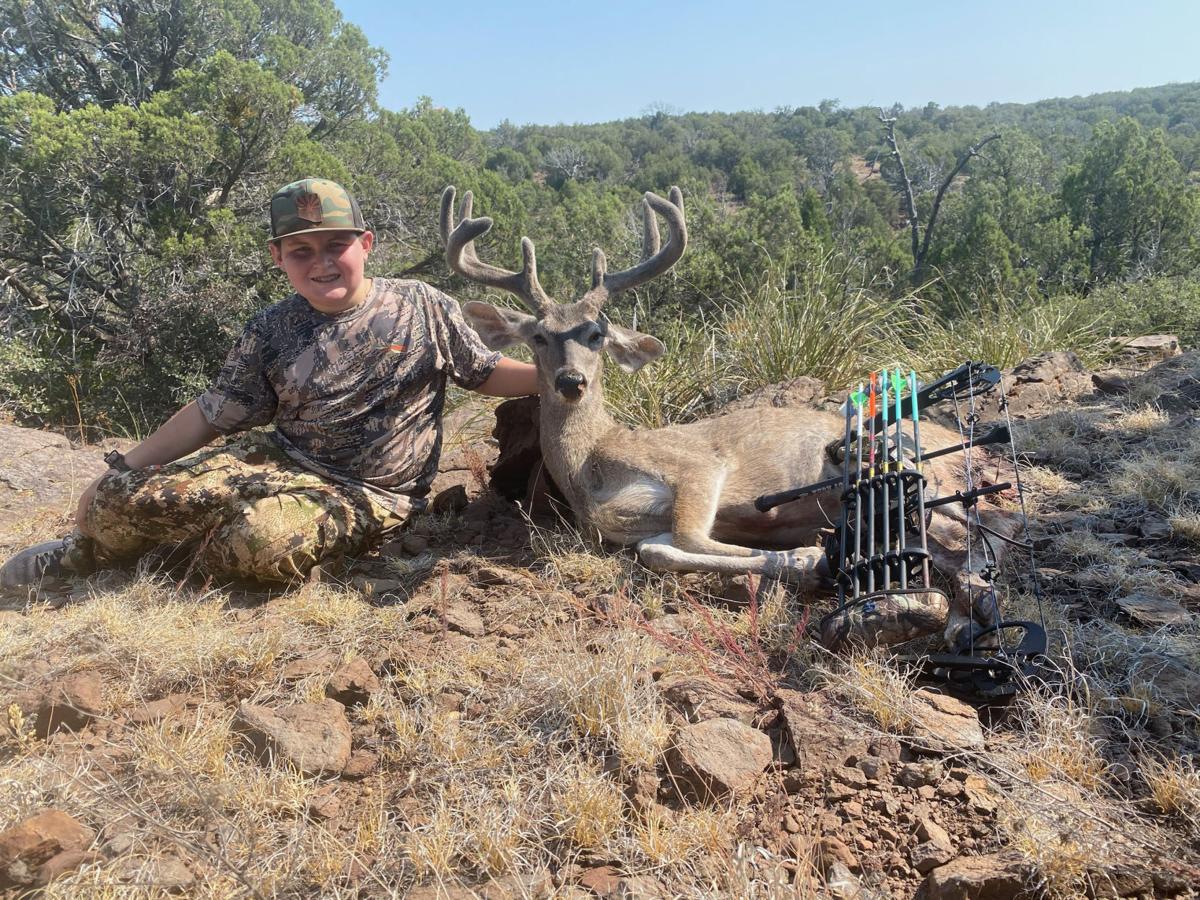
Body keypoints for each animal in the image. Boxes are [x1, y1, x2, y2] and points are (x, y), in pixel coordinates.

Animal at [440, 185, 1019, 651]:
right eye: (538, 336)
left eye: (596, 334)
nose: (570, 381)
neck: (592, 467)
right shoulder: (625, 525)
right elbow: (658, 549)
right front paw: (807, 557)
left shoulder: (697, 464)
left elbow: (689, 539)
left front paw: (807, 558)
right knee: (970, 554)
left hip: (924, 479)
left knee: (980, 546)